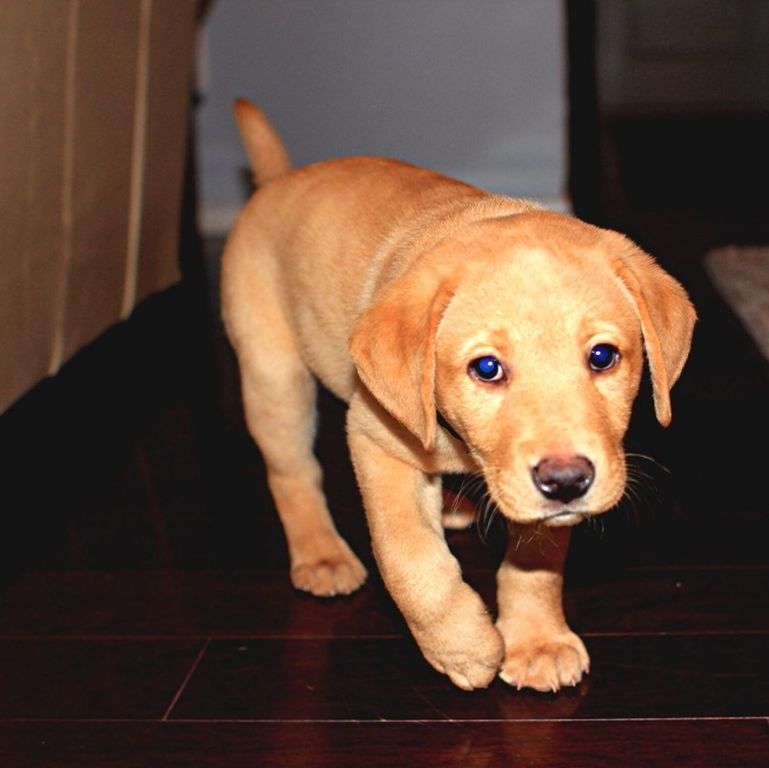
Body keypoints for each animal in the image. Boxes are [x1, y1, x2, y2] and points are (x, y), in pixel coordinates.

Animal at [222, 99, 696, 692]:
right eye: (486, 368)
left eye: (603, 357)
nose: (567, 481)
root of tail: (277, 181)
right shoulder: (377, 440)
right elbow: (409, 557)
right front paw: (462, 647)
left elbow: (537, 563)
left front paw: (537, 641)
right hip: (274, 377)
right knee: (292, 473)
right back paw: (322, 555)